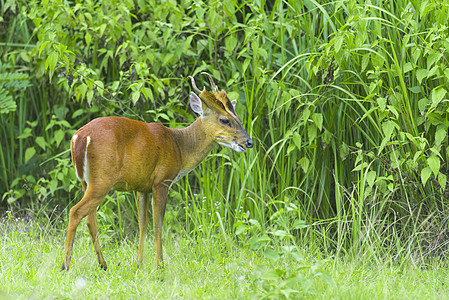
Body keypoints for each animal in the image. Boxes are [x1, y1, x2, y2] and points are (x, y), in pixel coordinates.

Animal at [61, 73, 254, 272]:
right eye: (225, 120)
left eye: (238, 118)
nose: (249, 142)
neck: (180, 147)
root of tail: (79, 138)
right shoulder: (162, 180)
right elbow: (158, 224)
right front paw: (160, 264)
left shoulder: (142, 186)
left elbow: (143, 223)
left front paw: (138, 263)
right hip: (102, 179)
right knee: (75, 212)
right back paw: (65, 265)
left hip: (86, 182)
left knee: (90, 219)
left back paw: (103, 264)